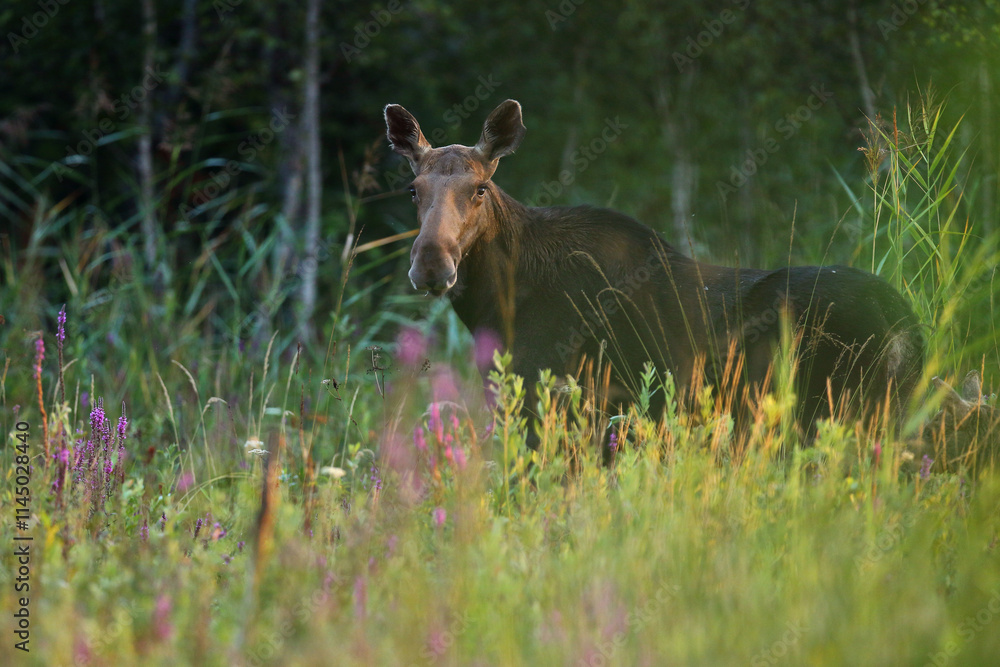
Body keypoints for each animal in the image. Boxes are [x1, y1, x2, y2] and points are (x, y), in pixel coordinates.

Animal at [382, 99, 920, 448]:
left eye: (479, 188)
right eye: (412, 189)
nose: (431, 264)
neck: (497, 306)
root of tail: (908, 328)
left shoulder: (554, 400)